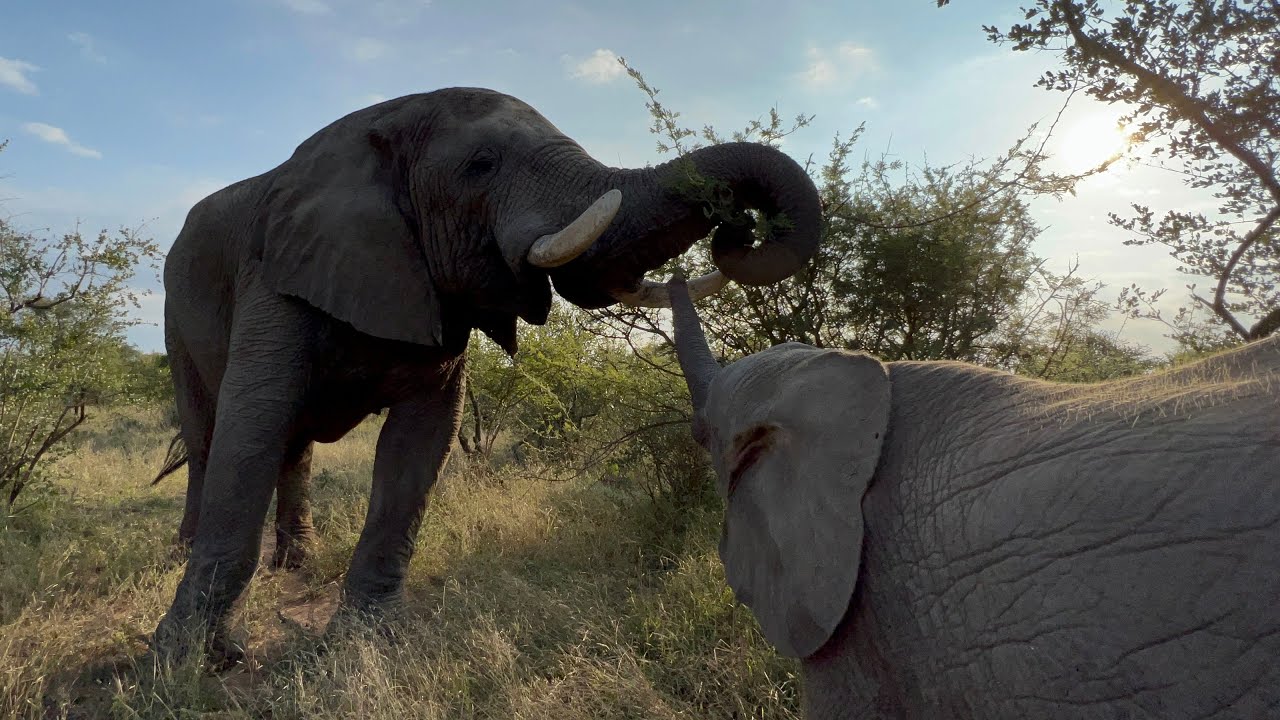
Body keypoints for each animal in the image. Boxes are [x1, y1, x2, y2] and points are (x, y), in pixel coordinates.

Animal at [150, 87, 822, 664]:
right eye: (481, 164)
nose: (738, 227)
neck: (383, 120)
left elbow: (420, 442)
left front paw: (368, 640)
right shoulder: (276, 271)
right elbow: (251, 426)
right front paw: (187, 660)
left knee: (293, 446)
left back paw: (296, 566)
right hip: (174, 316)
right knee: (210, 437)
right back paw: (185, 551)